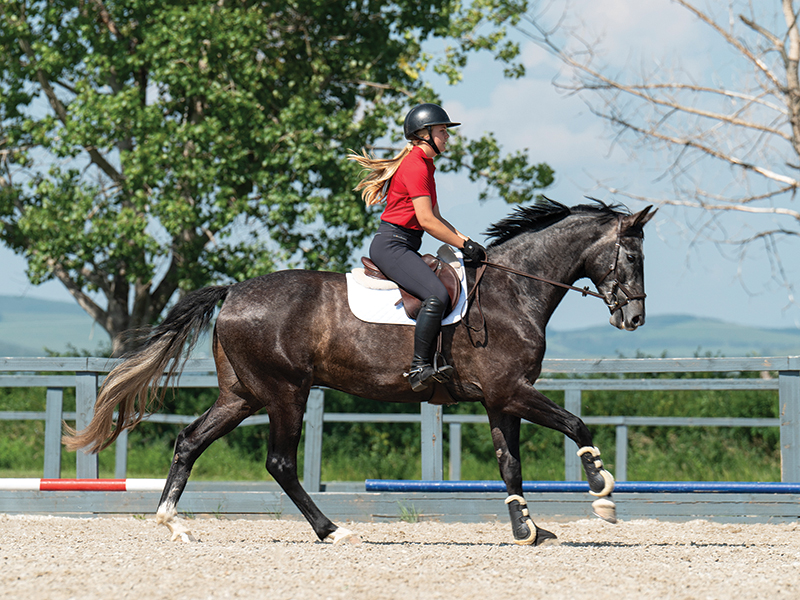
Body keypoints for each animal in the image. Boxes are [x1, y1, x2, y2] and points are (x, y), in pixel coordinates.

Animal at [64, 198, 655, 545]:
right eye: (632, 257)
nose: (634, 318)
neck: (513, 291)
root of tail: (233, 291)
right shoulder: (513, 390)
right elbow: (576, 425)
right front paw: (601, 493)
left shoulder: (500, 398)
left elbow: (510, 464)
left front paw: (527, 528)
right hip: (286, 393)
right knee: (280, 462)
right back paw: (332, 530)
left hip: (242, 396)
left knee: (189, 440)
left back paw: (172, 521)